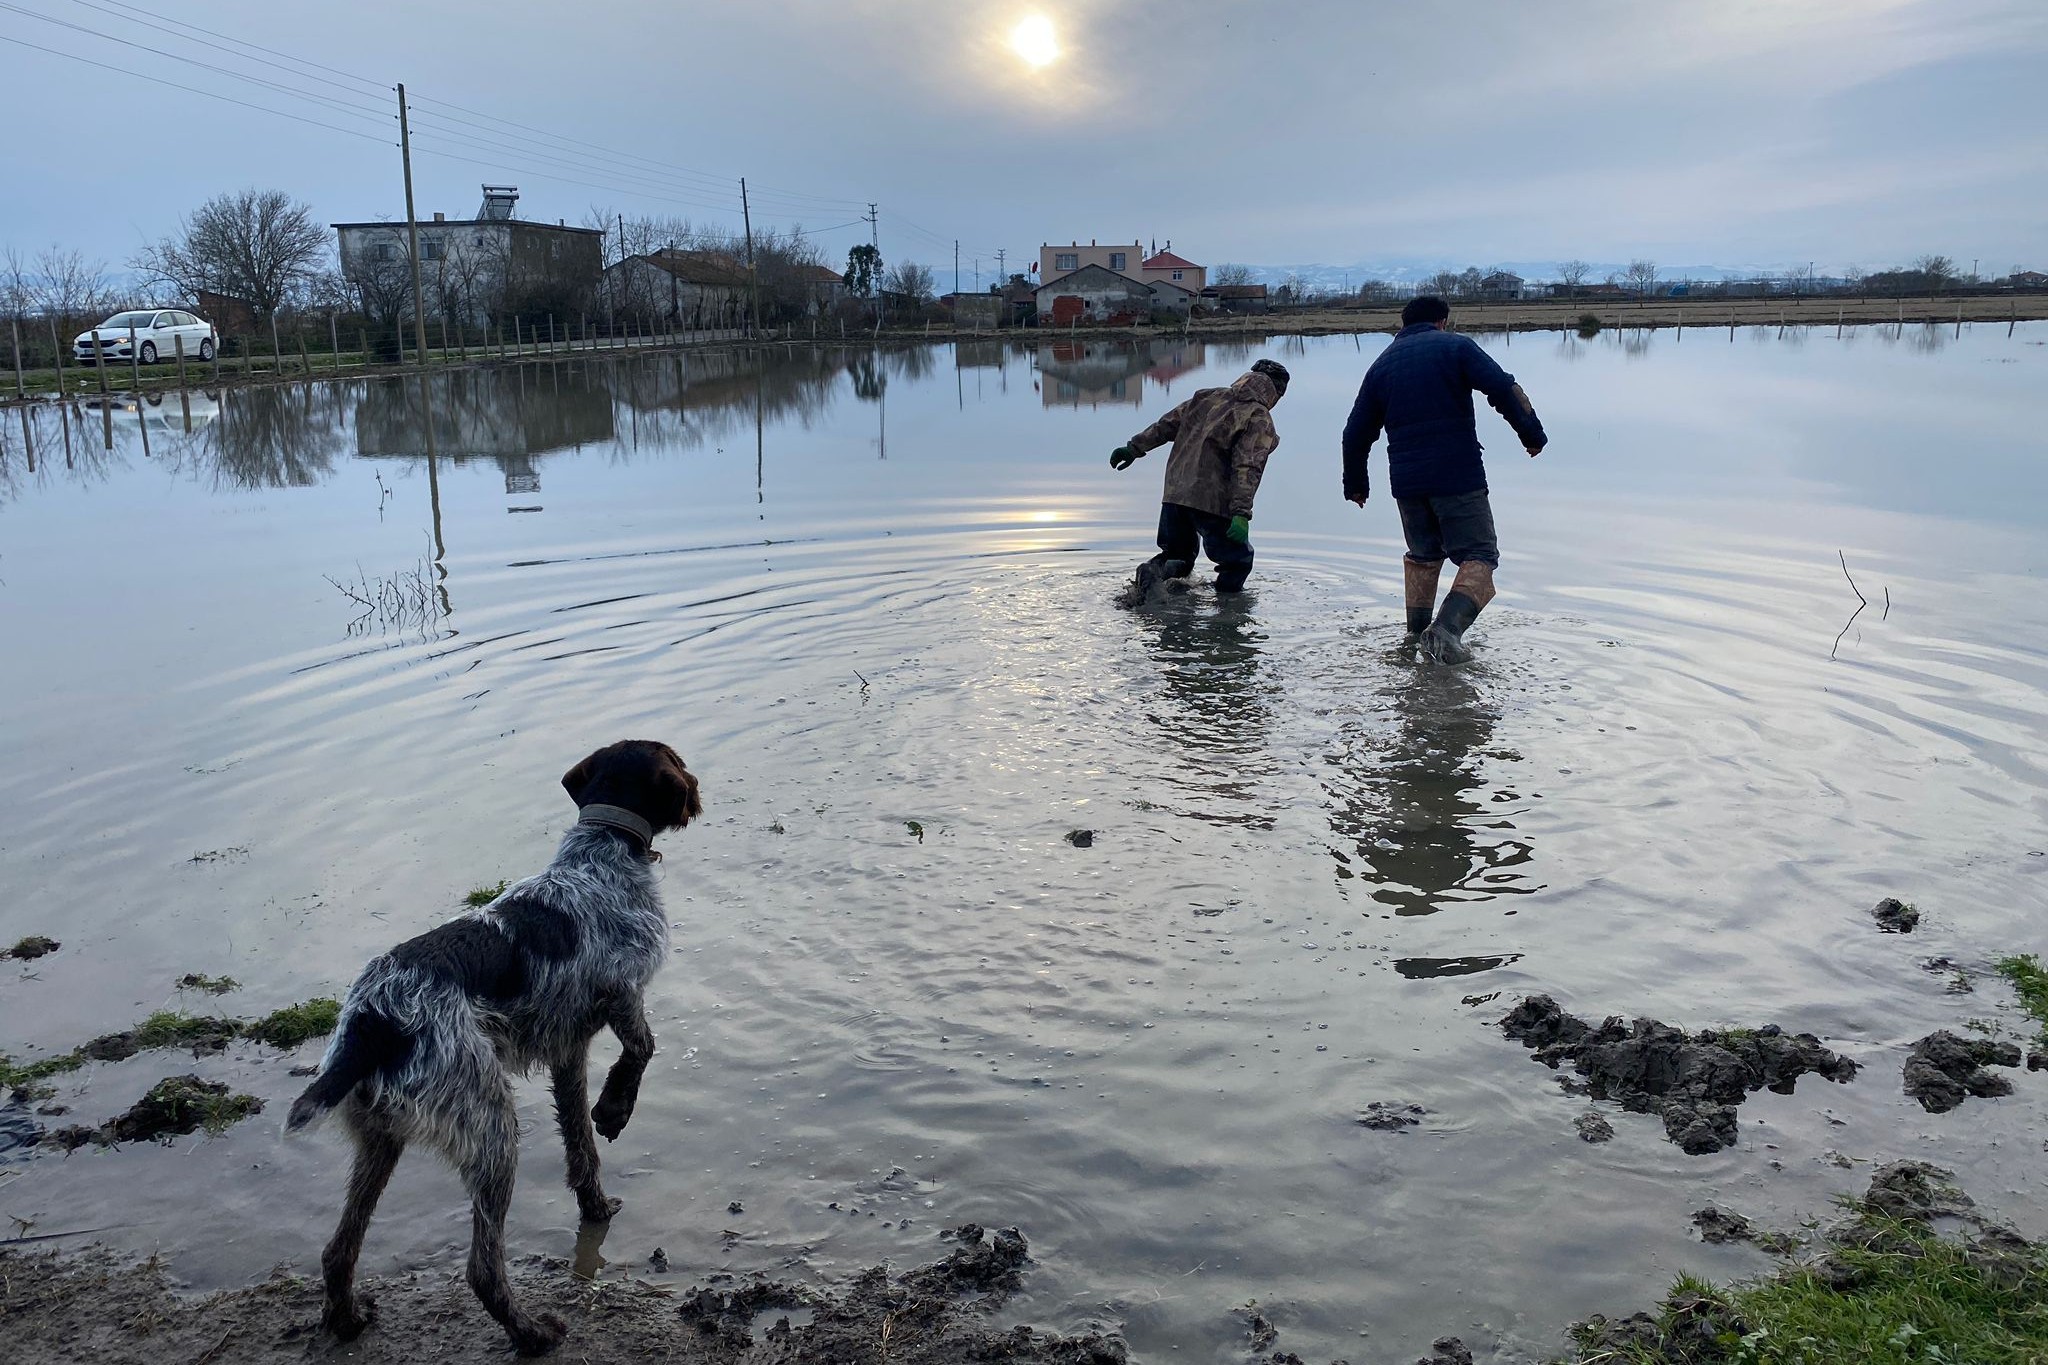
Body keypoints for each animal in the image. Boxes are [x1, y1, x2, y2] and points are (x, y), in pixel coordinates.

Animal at [284, 740, 704, 1358]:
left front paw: (595, 1204)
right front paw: (615, 1110)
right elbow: (641, 1051)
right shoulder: (623, 992)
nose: (697, 788)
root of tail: (371, 1020)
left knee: (338, 1250)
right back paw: (531, 1333)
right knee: (482, 1268)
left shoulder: (568, 1050)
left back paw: (346, 1318)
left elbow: (579, 1143)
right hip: (490, 1127)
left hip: (381, 1139)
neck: (600, 854)